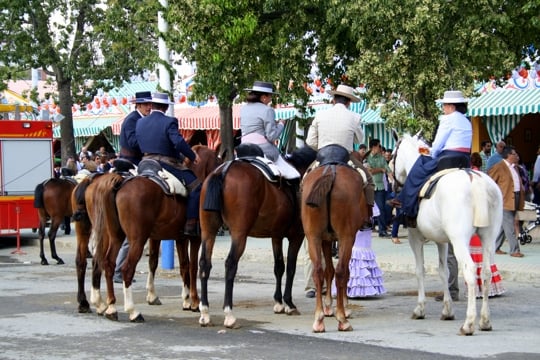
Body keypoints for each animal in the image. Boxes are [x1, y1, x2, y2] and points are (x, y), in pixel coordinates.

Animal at [83, 145, 218, 322]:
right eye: (218, 159)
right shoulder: (194, 238)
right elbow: (192, 267)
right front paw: (194, 302)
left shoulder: (176, 238)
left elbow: (176, 265)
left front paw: (184, 299)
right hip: (136, 240)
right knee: (126, 268)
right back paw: (132, 311)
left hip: (114, 236)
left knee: (105, 263)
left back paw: (109, 306)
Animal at [197, 146, 316, 330]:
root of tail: (222, 171)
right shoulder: (297, 236)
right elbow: (290, 268)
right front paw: (289, 304)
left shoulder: (276, 236)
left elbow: (279, 267)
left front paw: (278, 302)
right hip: (239, 234)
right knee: (230, 264)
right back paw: (229, 314)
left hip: (208, 231)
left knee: (204, 263)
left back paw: (205, 312)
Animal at [302, 144, 370, 332]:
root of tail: (330, 171)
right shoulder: (348, 238)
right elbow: (344, 271)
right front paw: (344, 307)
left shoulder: (326, 239)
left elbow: (328, 270)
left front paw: (327, 306)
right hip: (346, 236)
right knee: (341, 271)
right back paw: (342, 319)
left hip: (313, 236)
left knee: (318, 270)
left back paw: (319, 319)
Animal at [392, 134, 502, 336]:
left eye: (393, 155)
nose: (393, 183)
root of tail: (475, 180)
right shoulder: (442, 241)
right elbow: (444, 271)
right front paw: (447, 310)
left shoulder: (414, 238)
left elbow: (420, 270)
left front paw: (420, 309)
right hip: (488, 238)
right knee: (487, 272)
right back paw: (484, 321)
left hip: (460, 240)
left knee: (470, 270)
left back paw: (469, 324)